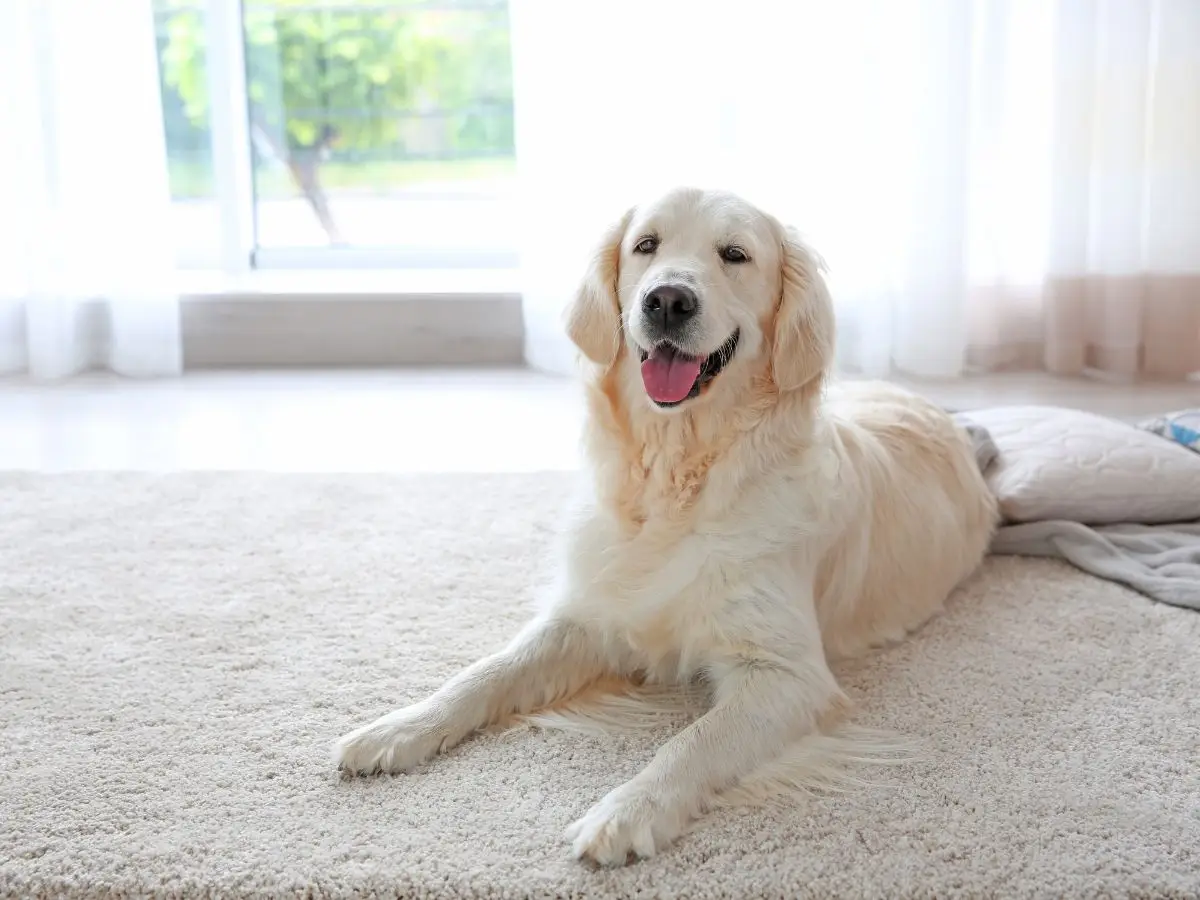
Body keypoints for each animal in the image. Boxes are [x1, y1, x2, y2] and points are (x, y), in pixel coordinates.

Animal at [333, 188, 998, 868]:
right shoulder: (588, 614)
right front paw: (402, 725)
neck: (676, 479)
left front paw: (627, 811)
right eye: (645, 246)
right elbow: (489, 669)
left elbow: (695, 741)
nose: (668, 300)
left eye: (735, 254)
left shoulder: (788, 675)